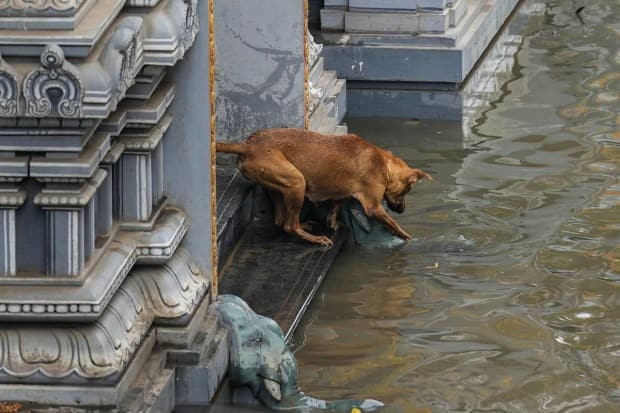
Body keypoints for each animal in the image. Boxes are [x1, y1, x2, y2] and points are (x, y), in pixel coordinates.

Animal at [217, 129, 432, 245]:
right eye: (406, 192)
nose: (402, 210)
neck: (383, 163)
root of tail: (247, 145)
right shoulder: (373, 206)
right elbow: (392, 223)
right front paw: (406, 235)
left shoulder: (342, 191)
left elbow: (337, 202)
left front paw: (333, 219)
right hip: (297, 182)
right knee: (289, 225)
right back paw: (315, 239)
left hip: (279, 186)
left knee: (280, 221)